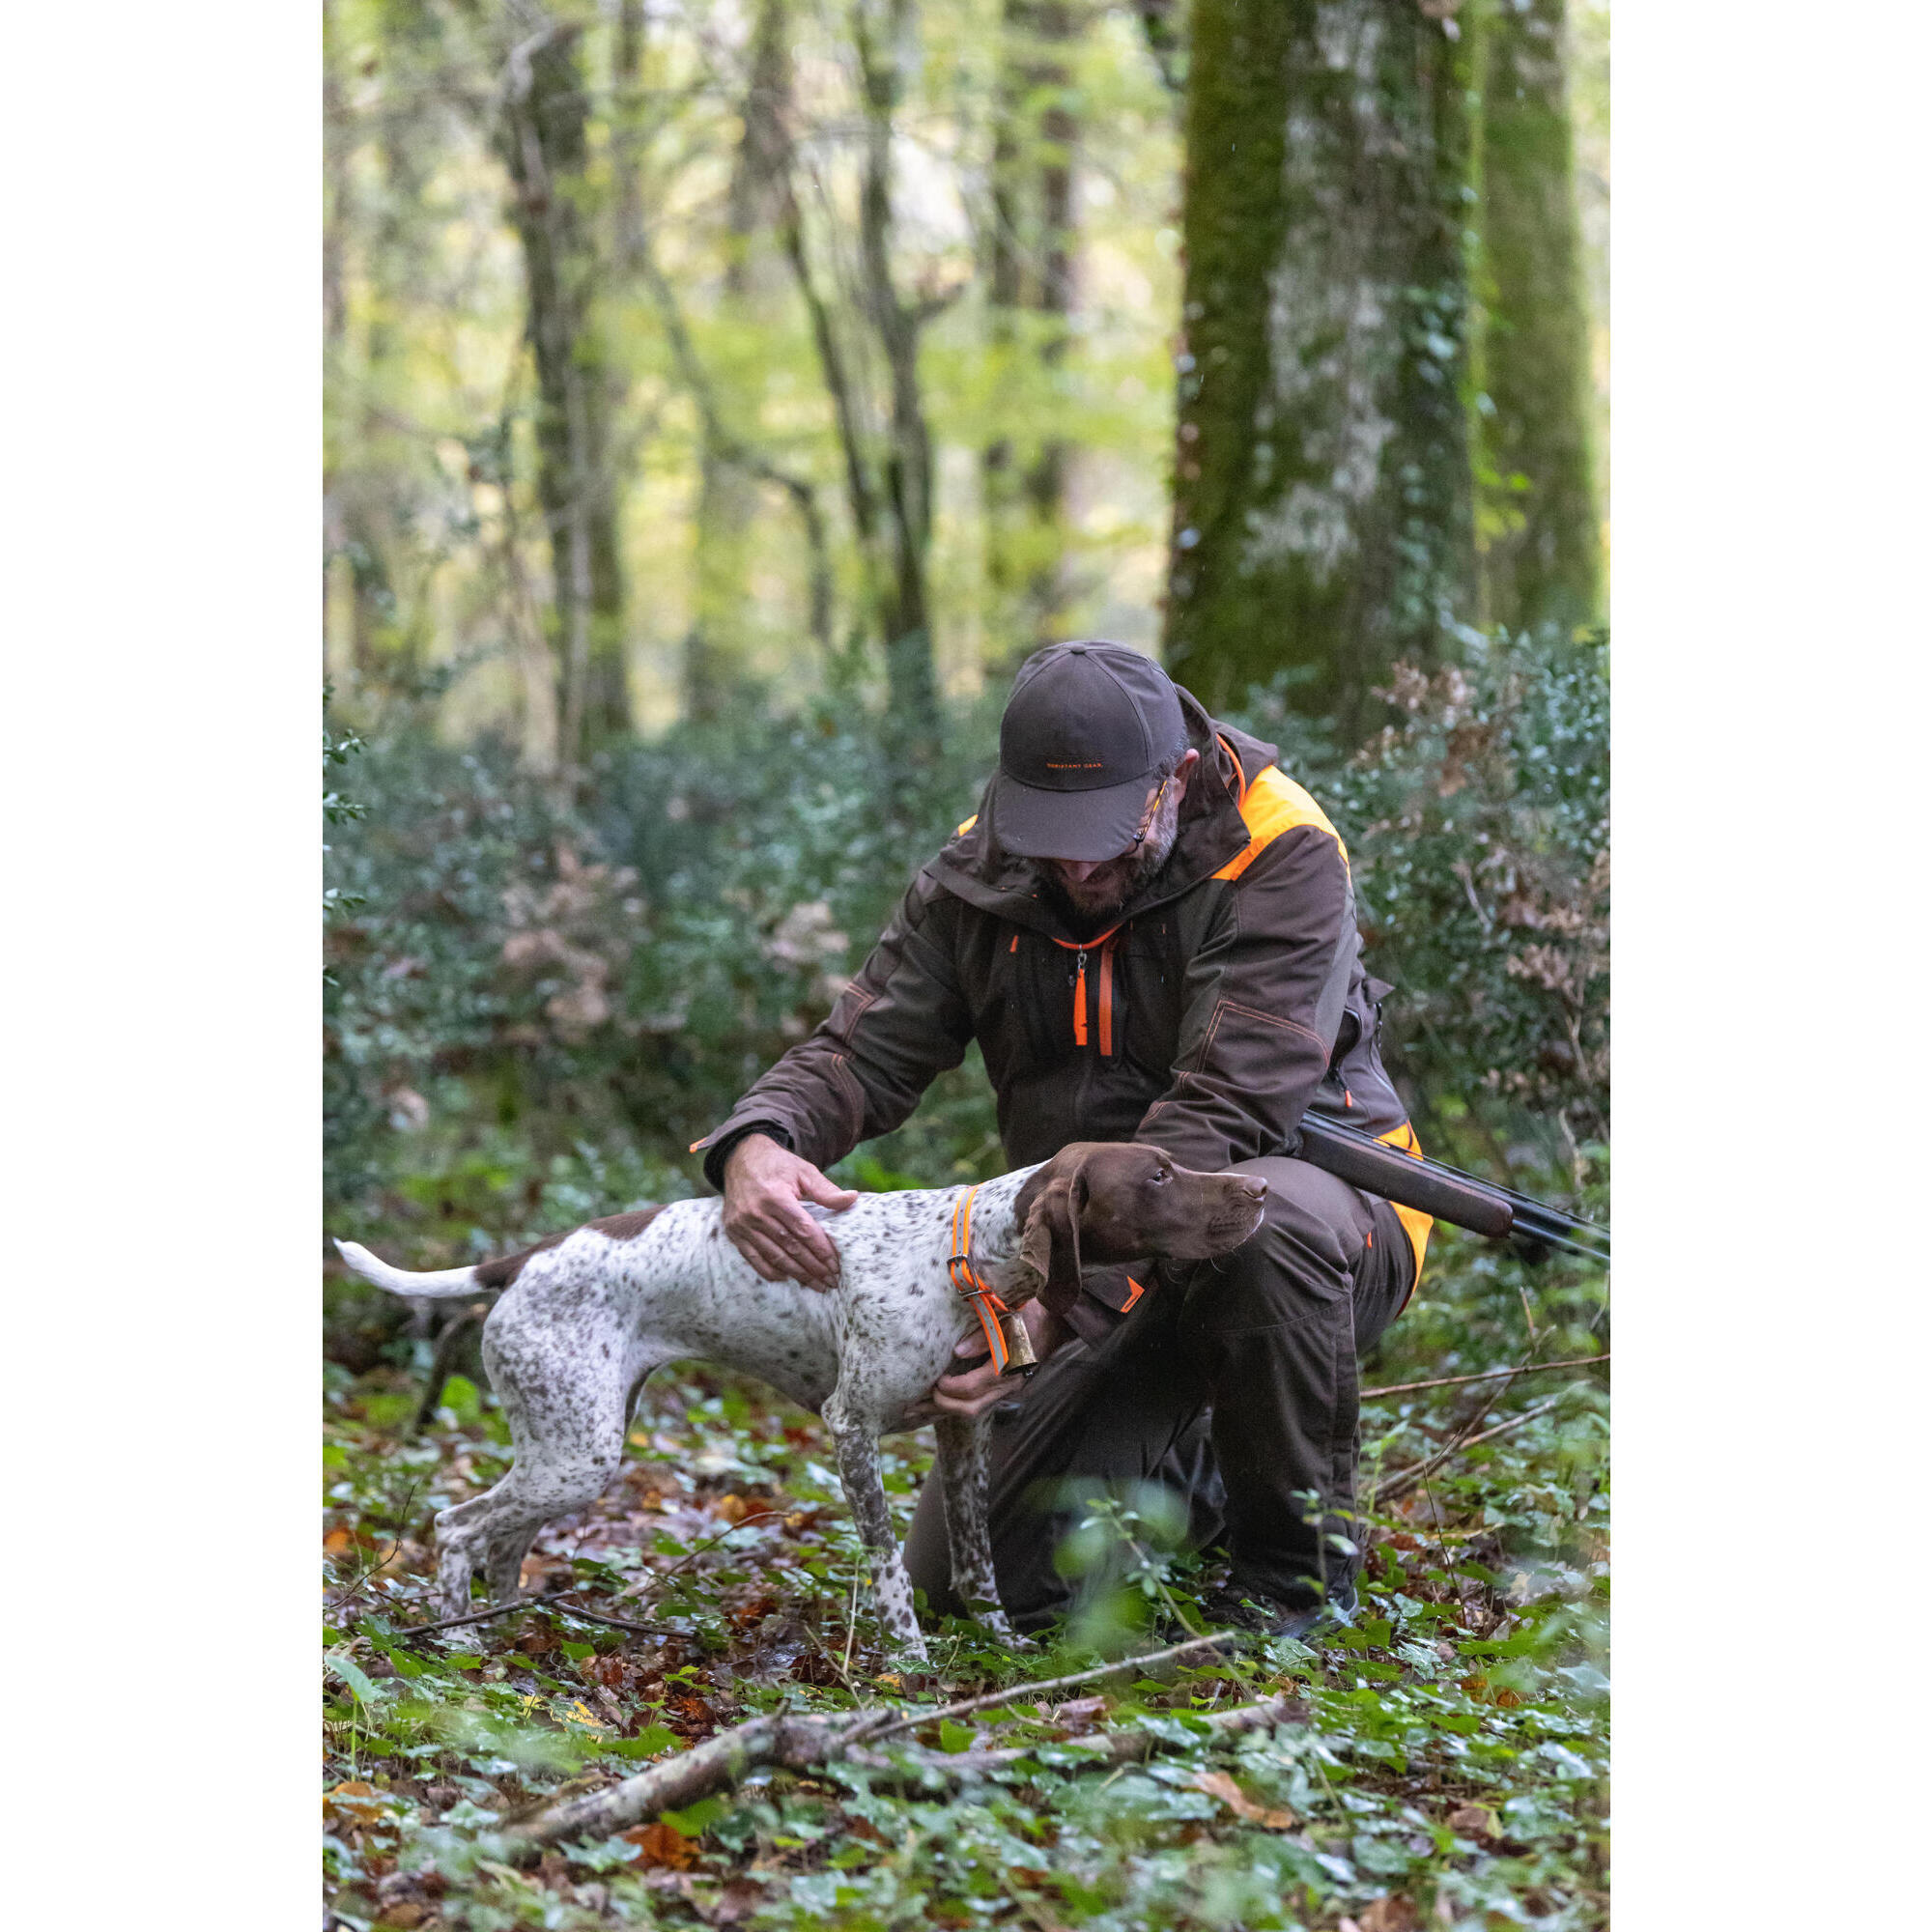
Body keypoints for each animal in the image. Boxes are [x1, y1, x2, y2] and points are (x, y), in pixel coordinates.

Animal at [332, 1144, 1267, 1662]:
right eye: (1158, 1174)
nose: (1258, 1192)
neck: (964, 1254)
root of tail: (522, 1258)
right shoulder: (851, 1429)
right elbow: (889, 1561)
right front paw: (912, 1662)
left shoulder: (963, 1434)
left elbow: (977, 1566)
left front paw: (1000, 1648)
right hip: (578, 1452)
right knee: (458, 1526)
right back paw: (456, 1642)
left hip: (571, 1442)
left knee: (503, 1539)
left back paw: (506, 1628)